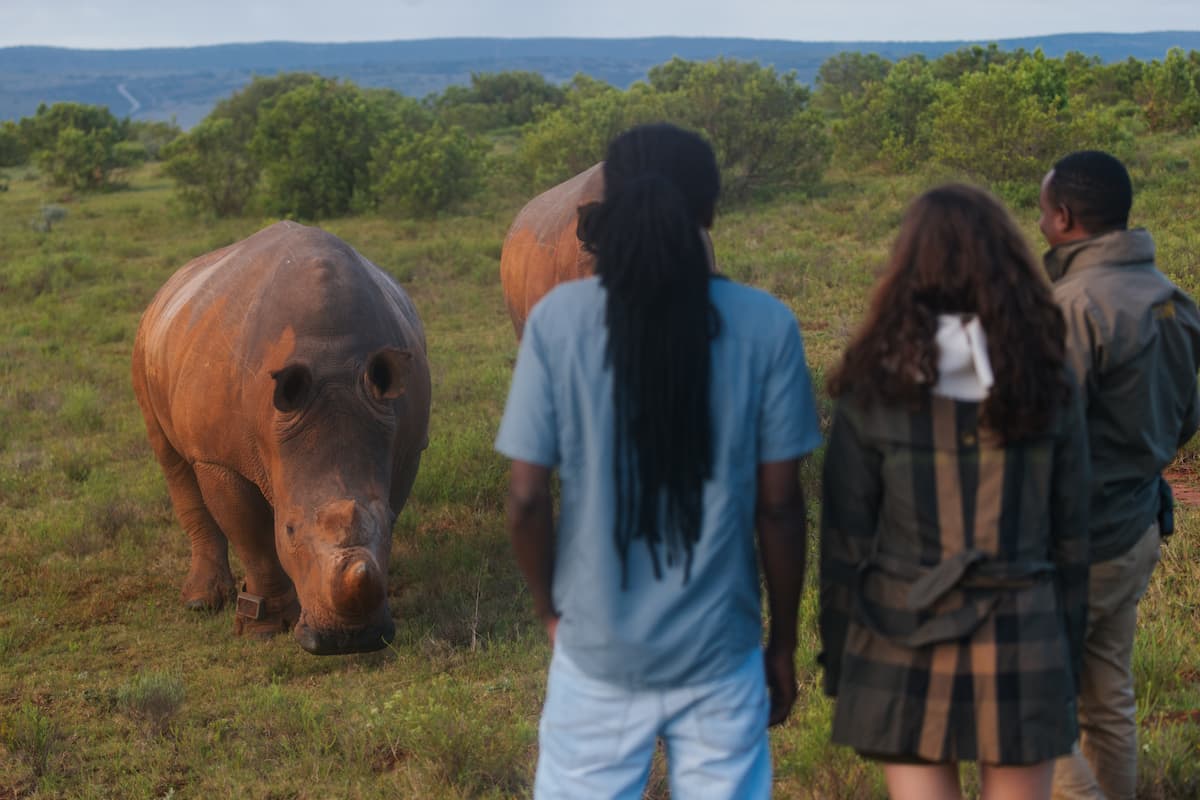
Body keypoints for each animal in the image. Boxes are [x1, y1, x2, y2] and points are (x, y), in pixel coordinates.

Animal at [132, 221, 431, 655]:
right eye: (289, 529)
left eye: (391, 525)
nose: (349, 640)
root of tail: (173, 283)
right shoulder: (220, 459)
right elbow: (254, 537)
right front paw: (265, 628)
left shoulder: (406, 445)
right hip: (147, 346)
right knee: (171, 458)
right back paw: (200, 602)